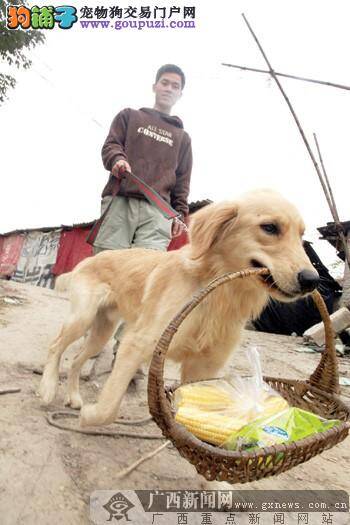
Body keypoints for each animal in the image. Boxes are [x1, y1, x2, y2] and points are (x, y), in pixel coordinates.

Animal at [39, 188, 320, 426]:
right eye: (270, 228)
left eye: (301, 235)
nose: (312, 279)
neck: (217, 293)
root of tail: (91, 258)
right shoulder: (137, 344)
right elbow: (108, 409)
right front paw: (89, 416)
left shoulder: (204, 366)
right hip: (82, 318)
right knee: (55, 346)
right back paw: (48, 388)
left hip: (102, 332)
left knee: (76, 359)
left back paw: (74, 397)